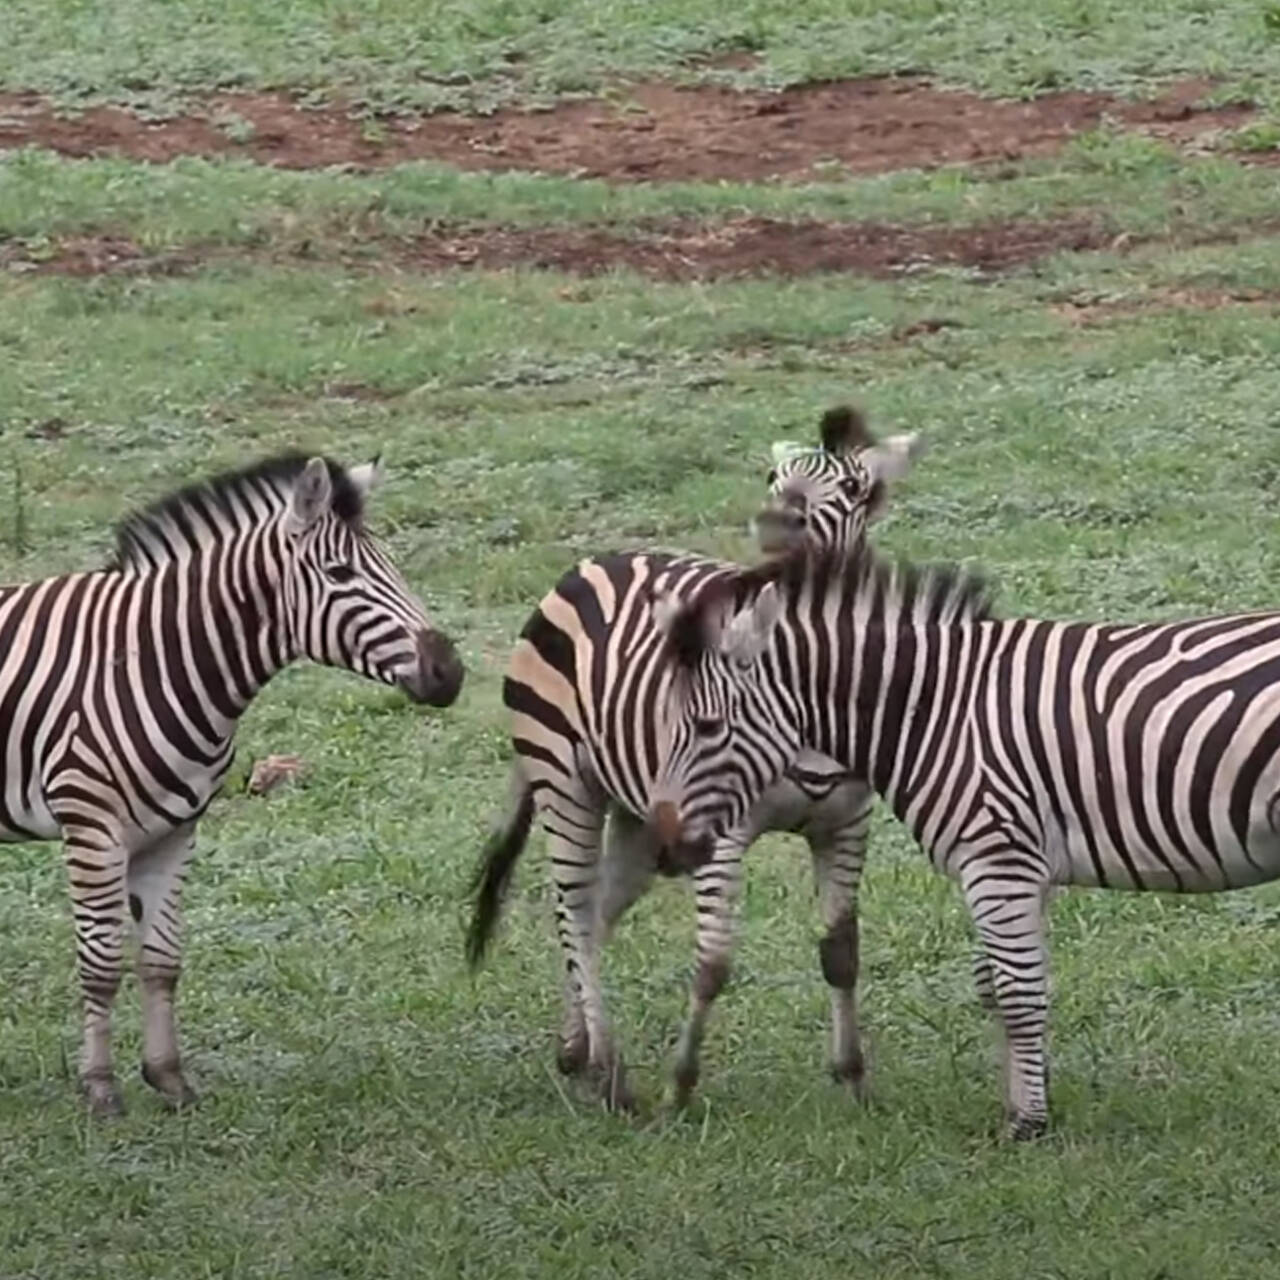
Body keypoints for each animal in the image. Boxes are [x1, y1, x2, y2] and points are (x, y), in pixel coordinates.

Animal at [2, 450, 465, 1111]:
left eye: (395, 566)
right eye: (340, 572)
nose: (450, 673)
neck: (154, 658)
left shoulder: (172, 830)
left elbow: (161, 960)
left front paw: (169, 1079)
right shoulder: (92, 825)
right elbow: (101, 962)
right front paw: (99, 1088)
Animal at [468, 404, 921, 1105]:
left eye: (850, 489)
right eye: (772, 477)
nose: (777, 520)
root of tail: (592, 563)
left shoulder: (846, 822)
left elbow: (842, 953)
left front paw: (853, 1077)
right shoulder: (723, 830)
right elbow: (713, 965)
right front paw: (681, 1086)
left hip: (641, 813)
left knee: (598, 911)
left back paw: (577, 1048)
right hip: (565, 778)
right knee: (574, 909)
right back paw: (610, 1070)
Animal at [650, 540, 1280, 1141]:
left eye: (706, 728)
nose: (666, 846)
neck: (934, 712)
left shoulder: (997, 859)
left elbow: (1018, 992)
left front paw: (1027, 1126)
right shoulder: (1025, 866)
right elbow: (1000, 988)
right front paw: (1024, 1101)